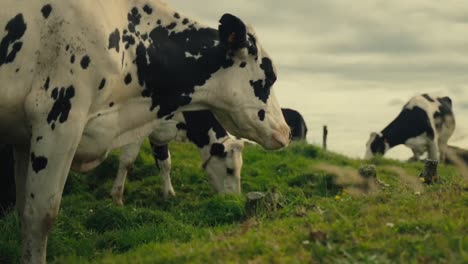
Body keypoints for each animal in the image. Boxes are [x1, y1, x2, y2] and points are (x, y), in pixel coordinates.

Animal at [110, 110, 245, 205]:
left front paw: (169, 194)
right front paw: (117, 198)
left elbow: (165, 162)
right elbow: (127, 160)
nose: (235, 199)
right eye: (230, 170)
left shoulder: (160, 135)